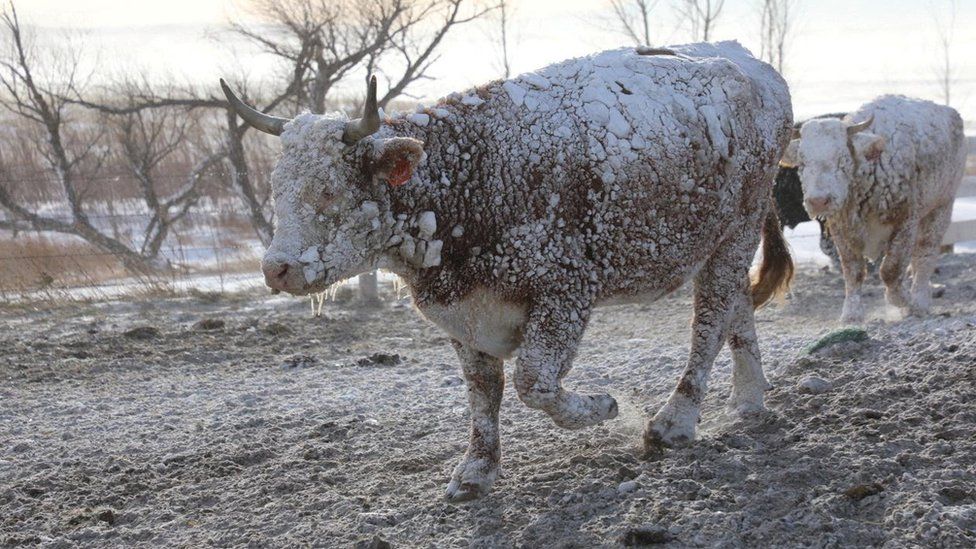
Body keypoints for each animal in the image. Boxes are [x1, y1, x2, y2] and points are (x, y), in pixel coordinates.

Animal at [221, 40, 792, 498]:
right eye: (277, 188)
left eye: (328, 190)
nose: (277, 269)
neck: (468, 178)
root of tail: (753, 66)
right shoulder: (464, 316)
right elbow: (483, 393)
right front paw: (476, 471)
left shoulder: (565, 290)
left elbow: (531, 382)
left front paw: (603, 407)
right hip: (726, 242)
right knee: (737, 306)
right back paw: (748, 399)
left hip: (734, 232)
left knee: (709, 321)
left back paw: (675, 421)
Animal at [776, 94, 968, 322]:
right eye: (803, 163)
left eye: (842, 159)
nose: (818, 201)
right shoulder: (841, 231)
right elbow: (853, 272)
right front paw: (851, 313)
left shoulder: (905, 223)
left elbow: (891, 270)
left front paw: (904, 301)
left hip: (941, 206)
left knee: (925, 254)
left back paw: (920, 300)